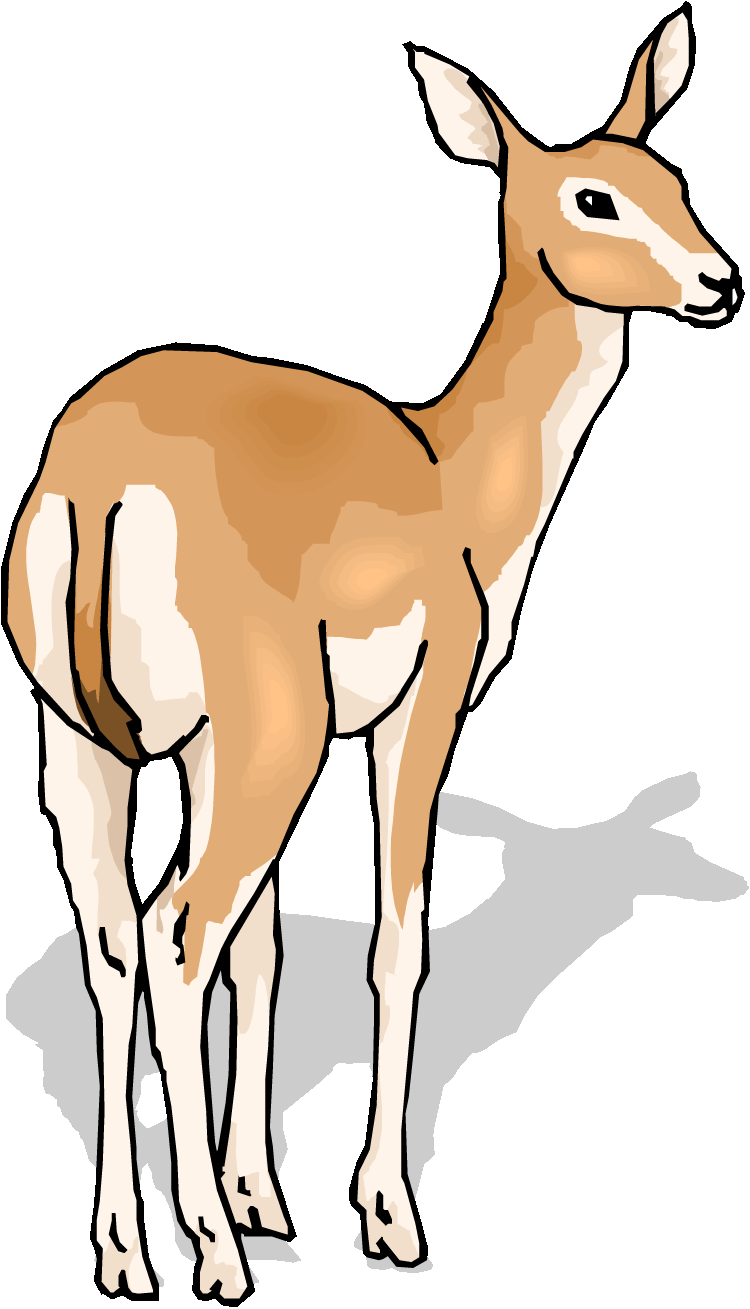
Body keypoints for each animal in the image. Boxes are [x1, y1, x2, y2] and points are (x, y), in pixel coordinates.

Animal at [1, 4, 741, 1302]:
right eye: (593, 197)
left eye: (679, 178)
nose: (721, 283)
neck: (455, 476)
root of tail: (91, 472)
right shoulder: (415, 708)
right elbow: (397, 940)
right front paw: (382, 1214)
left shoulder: (203, 748)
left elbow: (266, 948)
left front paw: (263, 1193)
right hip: (274, 735)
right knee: (174, 932)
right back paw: (212, 1258)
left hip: (88, 742)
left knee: (117, 938)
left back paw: (125, 1250)